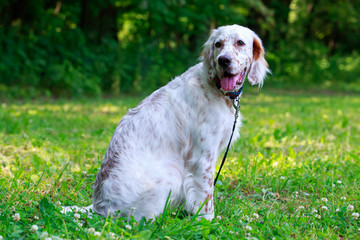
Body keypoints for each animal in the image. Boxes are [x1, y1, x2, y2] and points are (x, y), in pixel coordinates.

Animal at [91, 24, 268, 221]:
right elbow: (206, 197)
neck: (216, 90)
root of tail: (99, 207)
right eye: (218, 44)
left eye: (240, 42)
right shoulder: (203, 158)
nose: (223, 60)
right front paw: (207, 221)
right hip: (171, 175)